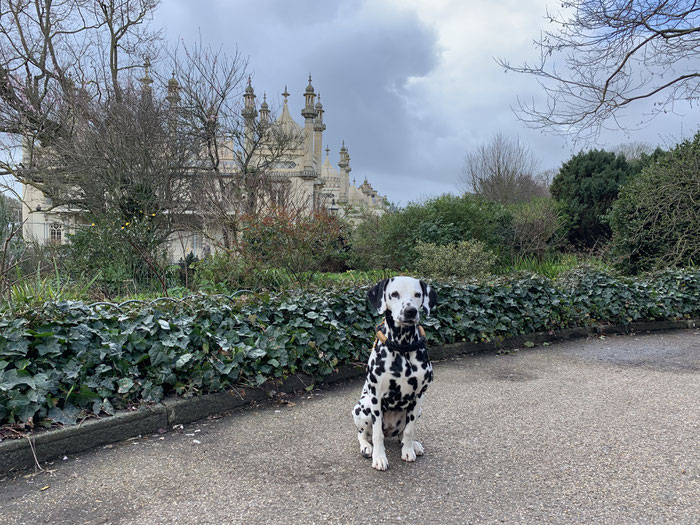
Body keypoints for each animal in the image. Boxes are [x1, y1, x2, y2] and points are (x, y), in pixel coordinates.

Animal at [352, 276, 434, 468]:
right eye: (394, 294)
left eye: (417, 294)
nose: (410, 311)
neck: (402, 347)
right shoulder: (375, 397)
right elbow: (377, 434)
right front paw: (379, 457)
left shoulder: (418, 396)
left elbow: (410, 430)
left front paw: (408, 450)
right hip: (363, 407)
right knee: (363, 434)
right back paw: (367, 447)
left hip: (417, 410)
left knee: (402, 434)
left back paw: (411, 444)